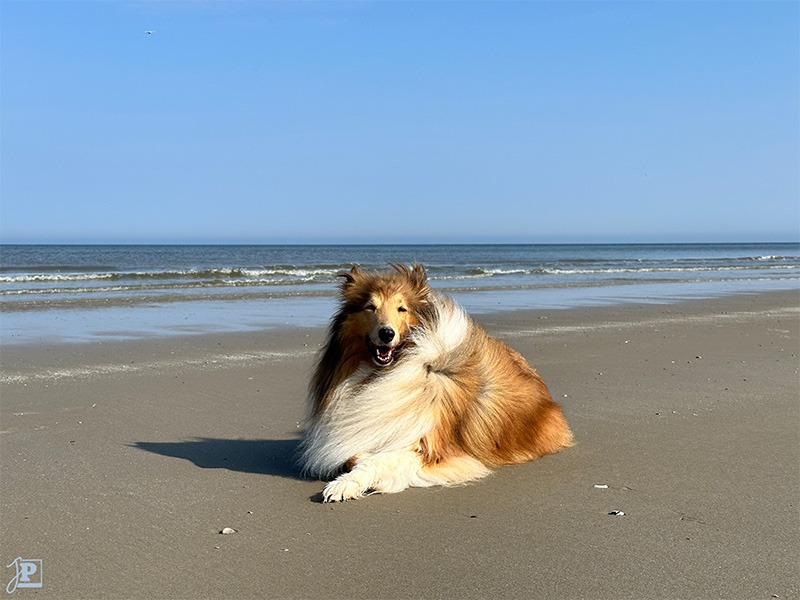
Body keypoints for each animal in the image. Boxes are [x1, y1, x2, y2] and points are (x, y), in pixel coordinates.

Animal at [298, 264, 568, 502]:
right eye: (370, 307)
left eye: (402, 309)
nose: (387, 333)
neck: (381, 373)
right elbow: (355, 454)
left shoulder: (432, 450)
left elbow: (376, 459)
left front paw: (344, 485)